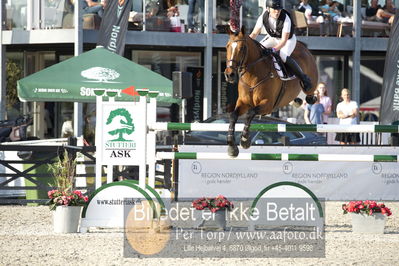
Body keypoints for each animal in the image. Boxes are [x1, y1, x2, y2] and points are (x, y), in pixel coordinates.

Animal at [225, 27, 318, 156]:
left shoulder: (267, 104)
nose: (230, 75)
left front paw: (245, 141)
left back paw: (307, 90)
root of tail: (303, 47)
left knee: (310, 94)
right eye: (227, 46)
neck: (253, 75)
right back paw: (296, 101)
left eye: (242, 48)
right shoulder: (243, 102)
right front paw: (232, 147)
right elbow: (233, 116)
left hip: (310, 83)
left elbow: (250, 113)